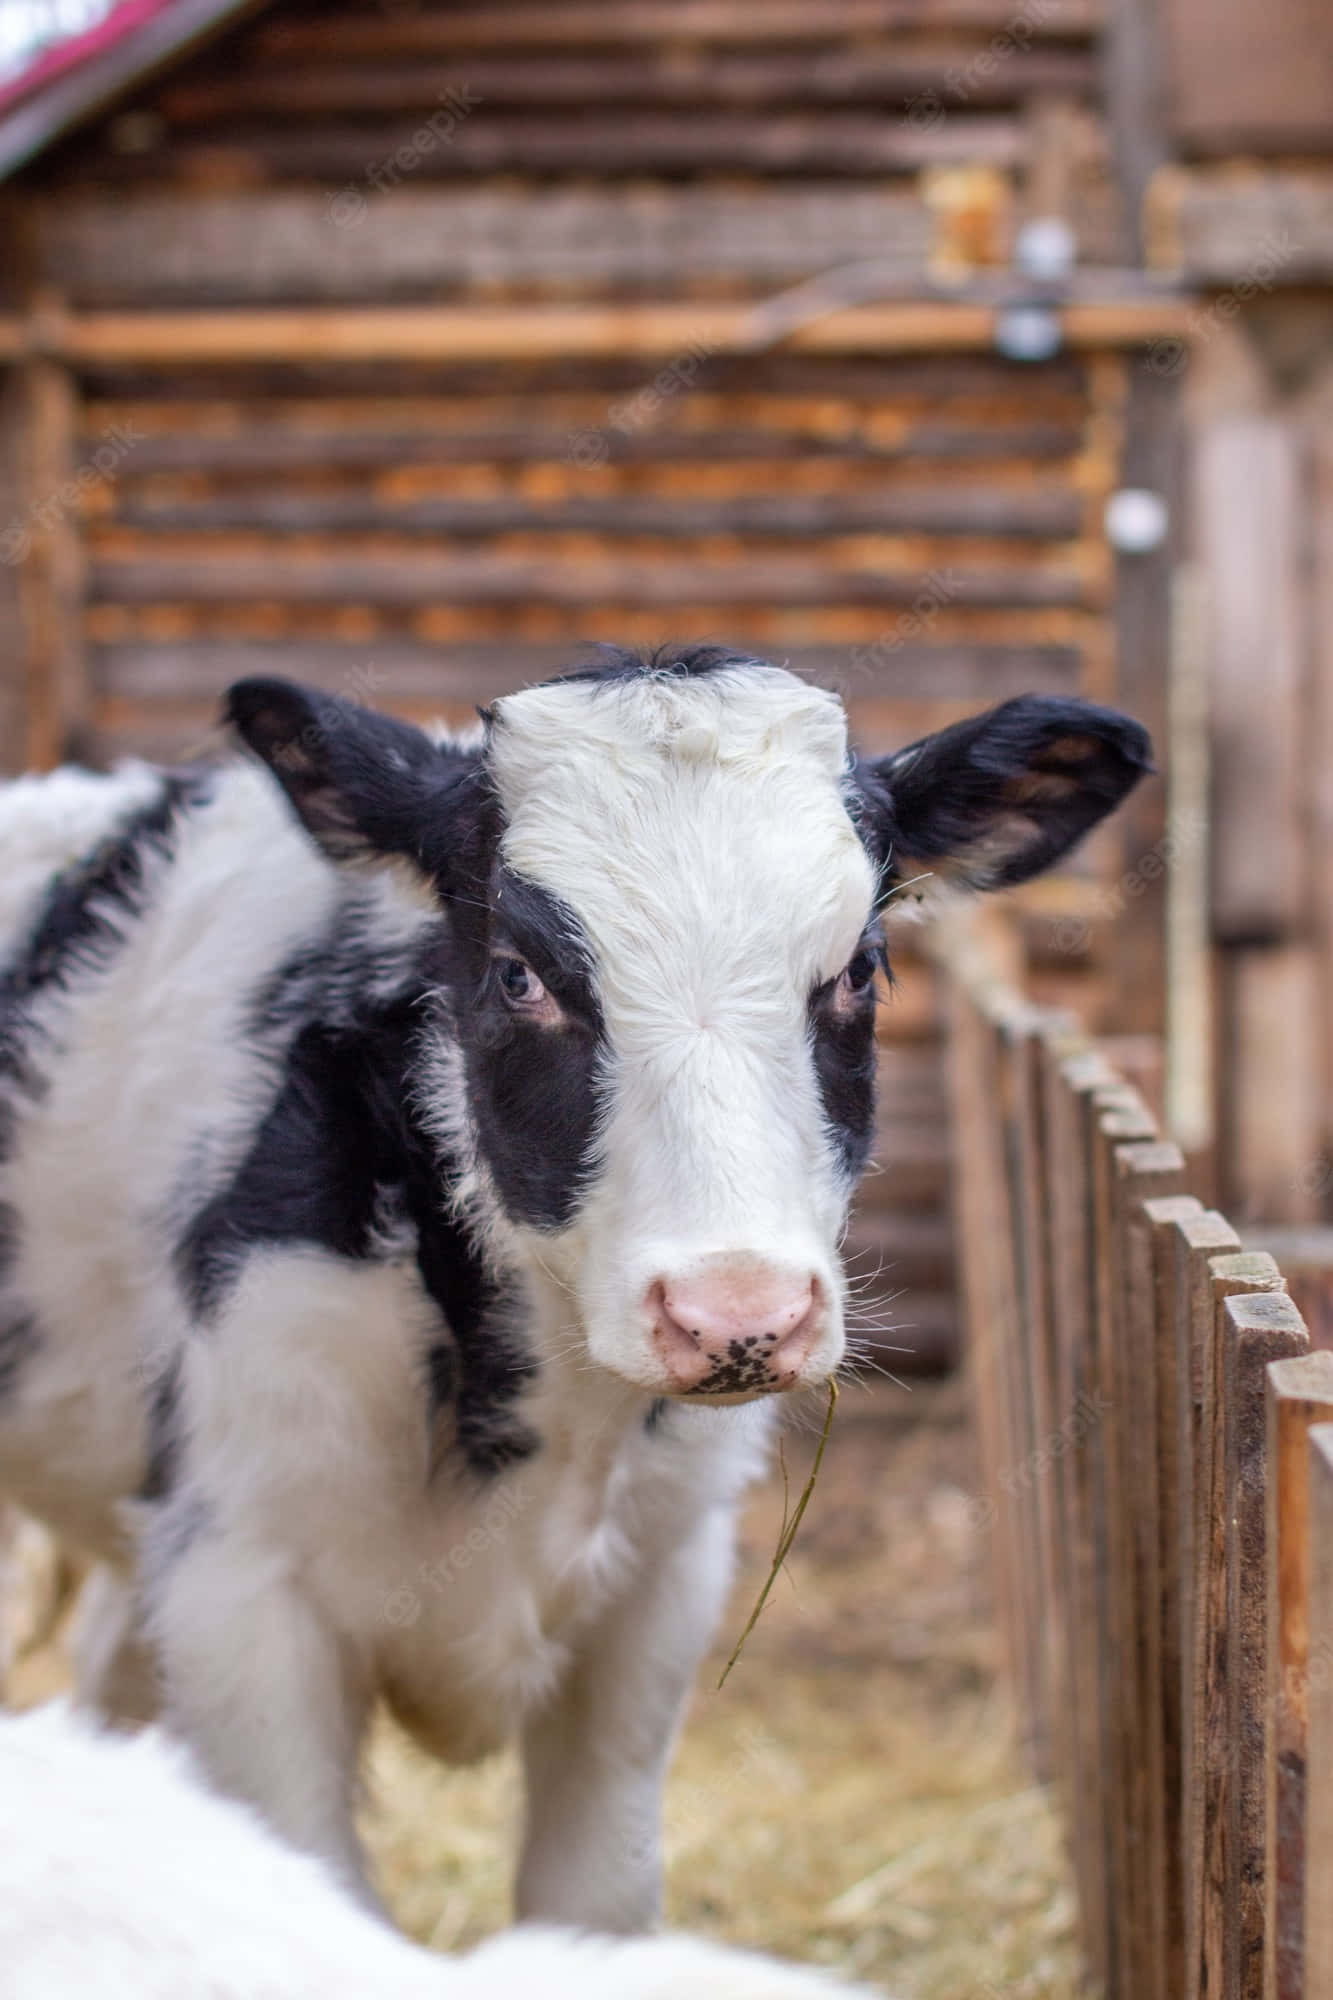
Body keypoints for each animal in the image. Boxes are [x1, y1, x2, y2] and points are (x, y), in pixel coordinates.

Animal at [0, 647, 1150, 1928]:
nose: (737, 1312)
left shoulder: (662, 1579)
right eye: (518, 976)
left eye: (857, 969)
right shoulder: (238, 1580)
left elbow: (592, 1899)